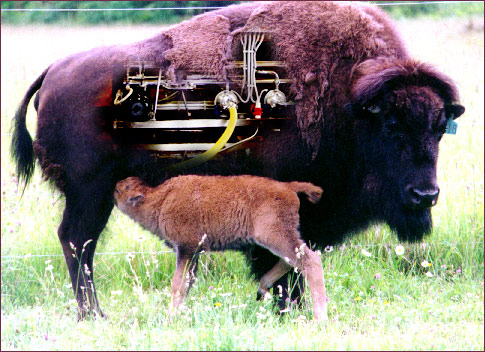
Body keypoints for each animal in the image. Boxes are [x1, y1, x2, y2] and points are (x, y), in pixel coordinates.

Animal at [113, 175, 326, 320]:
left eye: (121, 190)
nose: (114, 187)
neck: (160, 198)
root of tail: (287, 187)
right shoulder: (193, 253)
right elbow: (187, 283)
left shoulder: (186, 249)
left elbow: (178, 284)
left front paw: (170, 317)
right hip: (280, 238)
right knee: (293, 261)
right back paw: (262, 288)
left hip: (275, 236)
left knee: (310, 261)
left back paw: (320, 319)